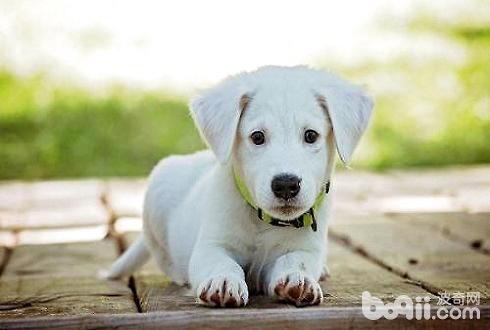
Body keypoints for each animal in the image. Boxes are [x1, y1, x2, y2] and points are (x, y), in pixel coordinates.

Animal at [109, 65, 374, 308]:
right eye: (257, 137)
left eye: (311, 135)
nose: (286, 185)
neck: (263, 221)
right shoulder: (211, 245)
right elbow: (221, 262)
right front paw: (223, 281)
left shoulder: (306, 249)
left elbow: (295, 260)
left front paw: (297, 278)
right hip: (158, 193)